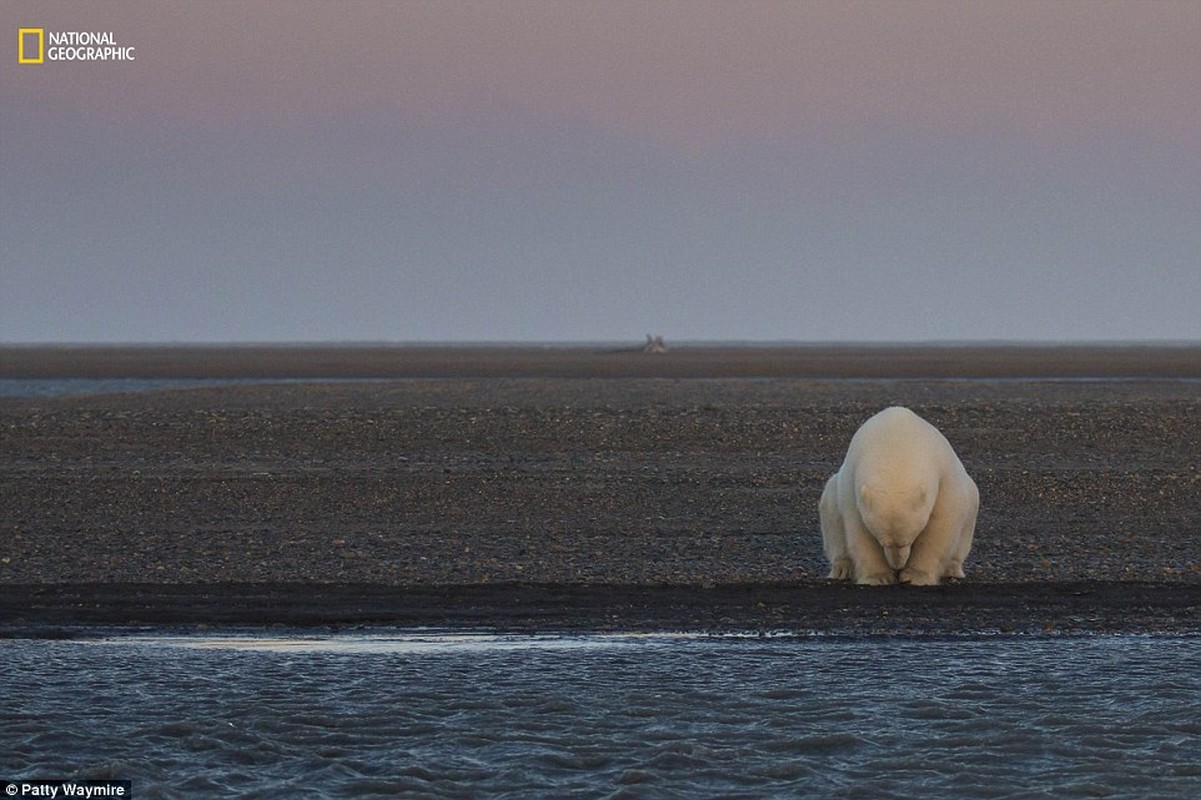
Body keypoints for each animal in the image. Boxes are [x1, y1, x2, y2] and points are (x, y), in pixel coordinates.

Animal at [821, 408, 980, 583]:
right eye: (883, 542)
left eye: (908, 541)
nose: (897, 566)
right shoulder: (851, 484)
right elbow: (859, 531)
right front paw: (879, 577)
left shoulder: (944, 477)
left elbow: (940, 527)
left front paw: (916, 576)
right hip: (833, 493)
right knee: (831, 515)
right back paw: (842, 569)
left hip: (971, 499)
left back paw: (952, 569)